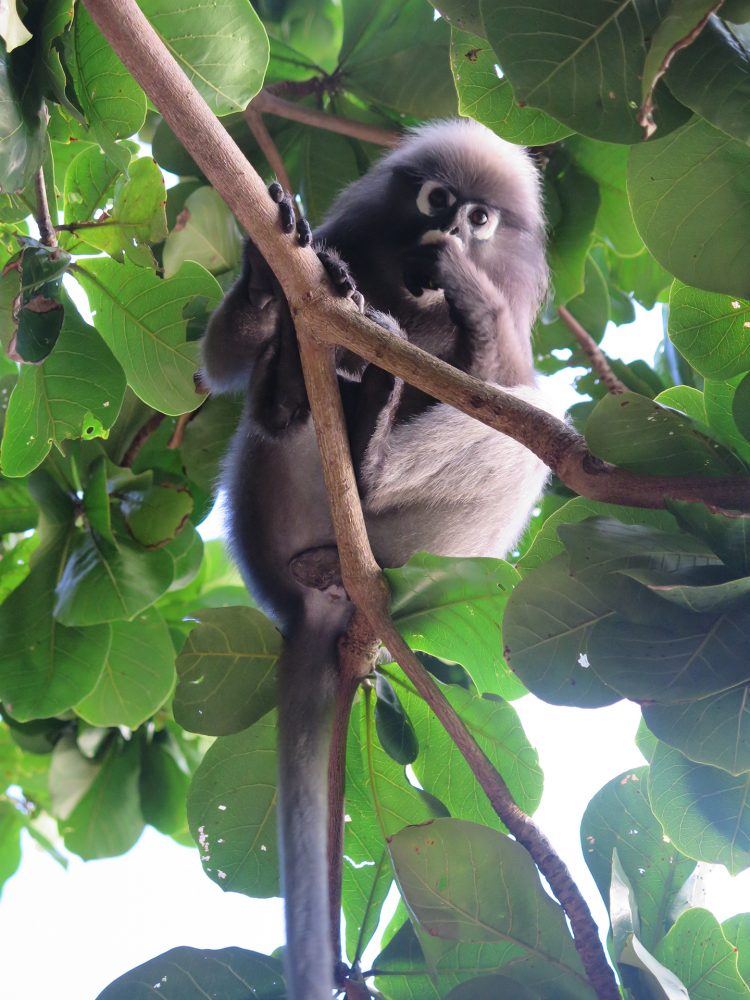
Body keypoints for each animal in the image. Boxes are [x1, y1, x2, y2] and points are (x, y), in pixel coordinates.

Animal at [201, 117, 557, 999]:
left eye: (480, 219)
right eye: (436, 199)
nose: (449, 232)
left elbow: (503, 388)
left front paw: (468, 289)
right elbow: (220, 360)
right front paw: (265, 277)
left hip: (414, 549)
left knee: (531, 426)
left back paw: (369, 452)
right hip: (269, 503)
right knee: (272, 408)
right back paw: (295, 389)